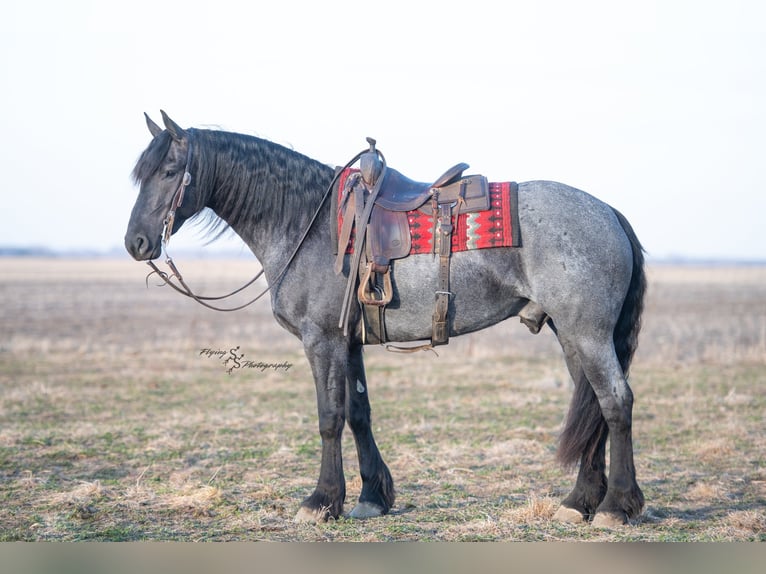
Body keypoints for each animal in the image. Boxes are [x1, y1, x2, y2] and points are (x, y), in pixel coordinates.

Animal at [125, 111, 646, 528]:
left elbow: (329, 417)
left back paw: (615, 507)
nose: (136, 243)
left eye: (169, 171)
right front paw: (372, 497)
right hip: (571, 334)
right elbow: (359, 414)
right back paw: (579, 502)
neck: (305, 223)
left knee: (615, 402)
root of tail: (609, 212)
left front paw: (321, 501)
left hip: (587, 332)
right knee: (593, 407)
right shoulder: (349, 342)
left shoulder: (322, 340)